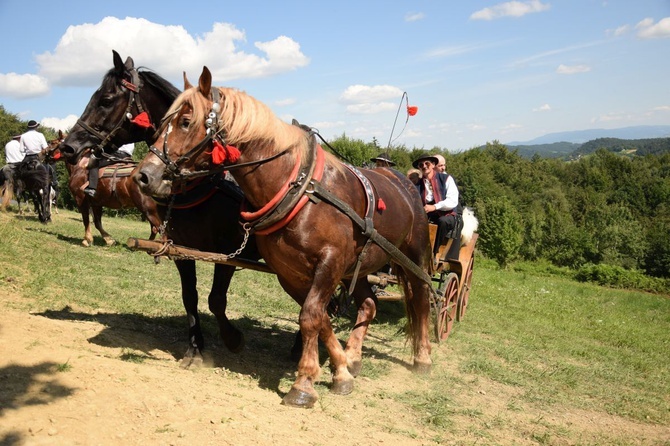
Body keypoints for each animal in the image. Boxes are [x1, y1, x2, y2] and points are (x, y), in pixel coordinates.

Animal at [59, 50, 262, 368]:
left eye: (106, 99)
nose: (68, 146)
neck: (206, 182)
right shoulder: (180, 248)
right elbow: (190, 296)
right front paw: (194, 349)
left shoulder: (230, 252)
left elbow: (216, 300)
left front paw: (233, 339)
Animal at [134, 67, 436, 408]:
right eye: (162, 123)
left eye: (186, 122)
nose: (145, 176)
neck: (298, 186)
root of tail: (403, 182)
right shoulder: (290, 271)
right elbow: (319, 318)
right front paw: (340, 370)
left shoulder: (329, 262)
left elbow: (311, 316)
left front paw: (303, 383)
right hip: (357, 267)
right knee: (369, 304)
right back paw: (354, 355)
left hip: (413, 256)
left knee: (421, 299)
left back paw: (423, 357)